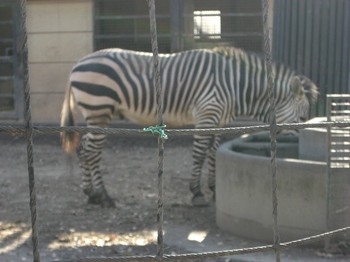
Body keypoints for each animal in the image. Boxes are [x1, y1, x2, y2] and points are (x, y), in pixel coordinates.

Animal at [59, 46, 318, 207]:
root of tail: (77, 65)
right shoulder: (207, 115)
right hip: (99, 110)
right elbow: (200, 154)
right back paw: (103, 196)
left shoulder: (219, 121)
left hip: (97, 114)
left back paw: (91, 194)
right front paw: (197, 193)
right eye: (302, 118)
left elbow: (213, 153)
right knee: (92, 152)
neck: (237, 88)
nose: (300, 149)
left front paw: (214, 189)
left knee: (83, 149)